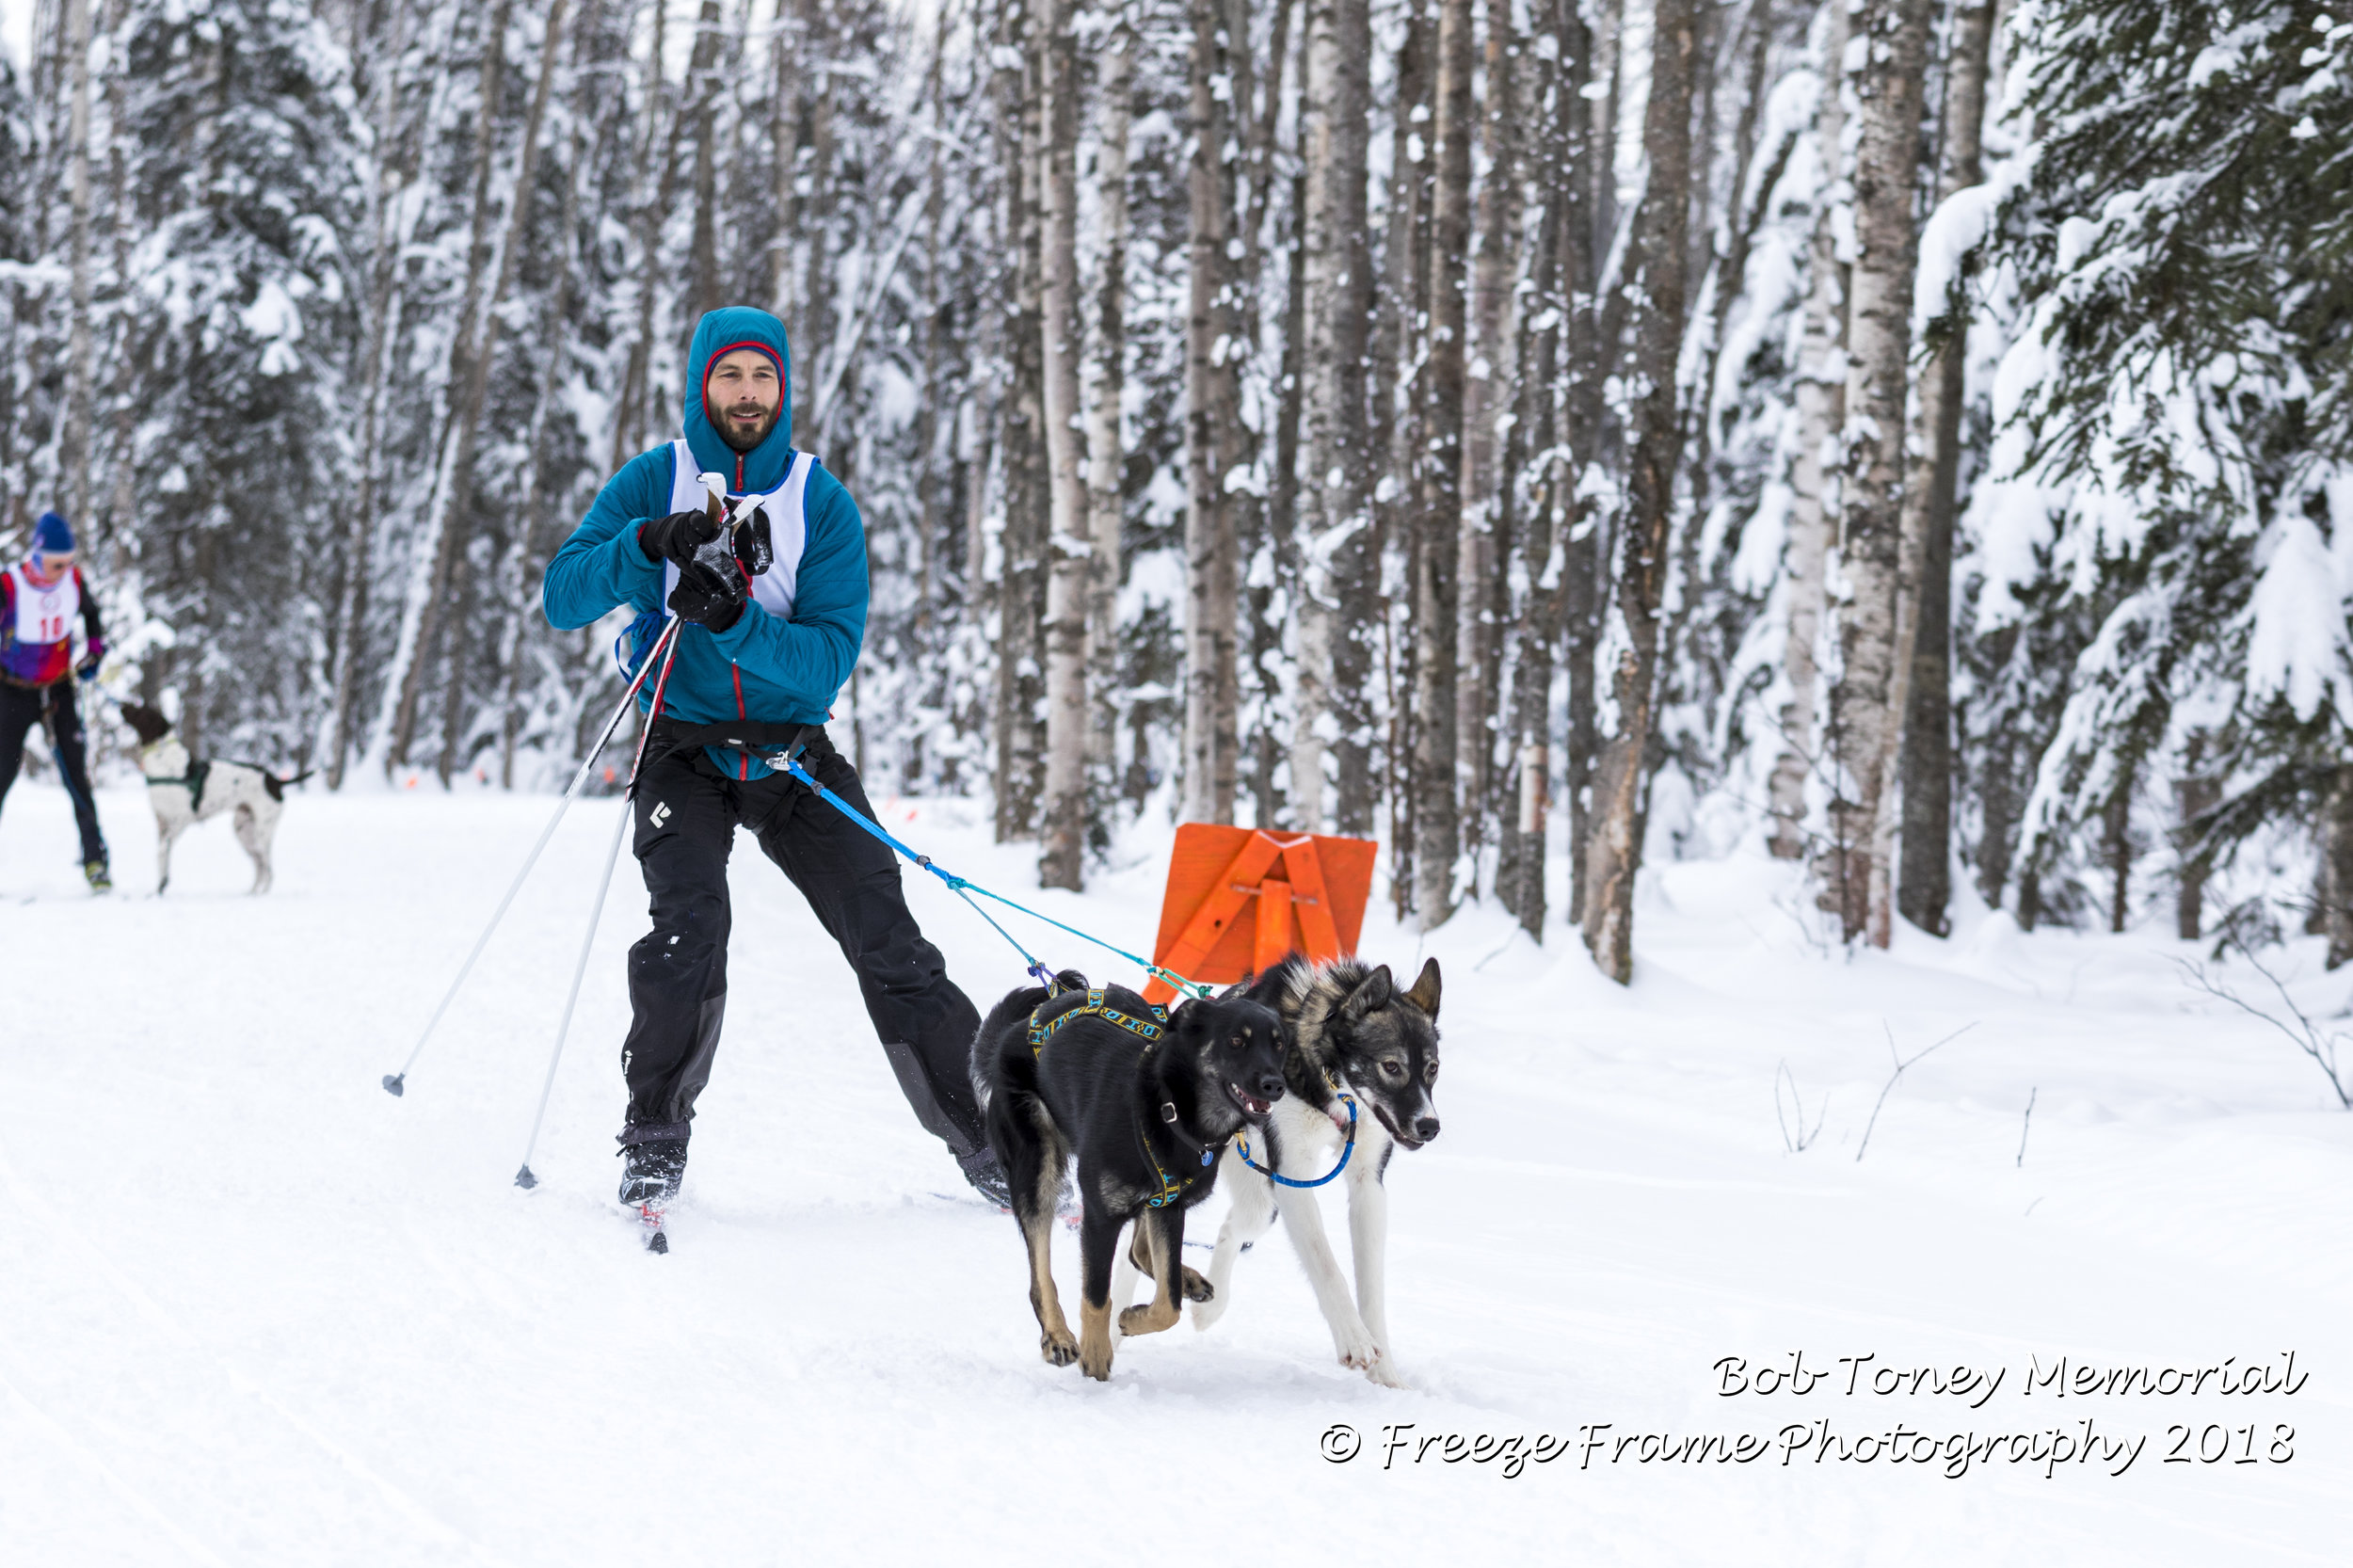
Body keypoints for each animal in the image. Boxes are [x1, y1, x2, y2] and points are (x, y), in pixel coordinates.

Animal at [969, 979, 1289, 1384]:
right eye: (1236, 1040)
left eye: (1279, 1044)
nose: (1275, 1085)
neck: (1168, 1107)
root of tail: (1016, 1029)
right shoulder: (1100, 1216)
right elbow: (1096, 1295)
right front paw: (1095, 1358)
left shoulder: (1169, 1205)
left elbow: (1168, 1302)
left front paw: (1134, 1318)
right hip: (1036, 1169)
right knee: (1040, 1272)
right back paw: (1057, 1336)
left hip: (1154, 1198)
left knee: (1141, 1253)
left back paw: (1187, 1280)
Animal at [1134, 951, 1440, 1384]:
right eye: (1392, 1066)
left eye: (1432, 1068)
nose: (1430, 1126)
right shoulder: (1294, 1176)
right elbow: (1327, 1266)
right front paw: (1355, 1340)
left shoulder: (1367, 1182)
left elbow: (1371, 1285)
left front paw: (1385, 1371)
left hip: (1263, 1201)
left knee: (1231, 1229)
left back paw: (1210, 1309)